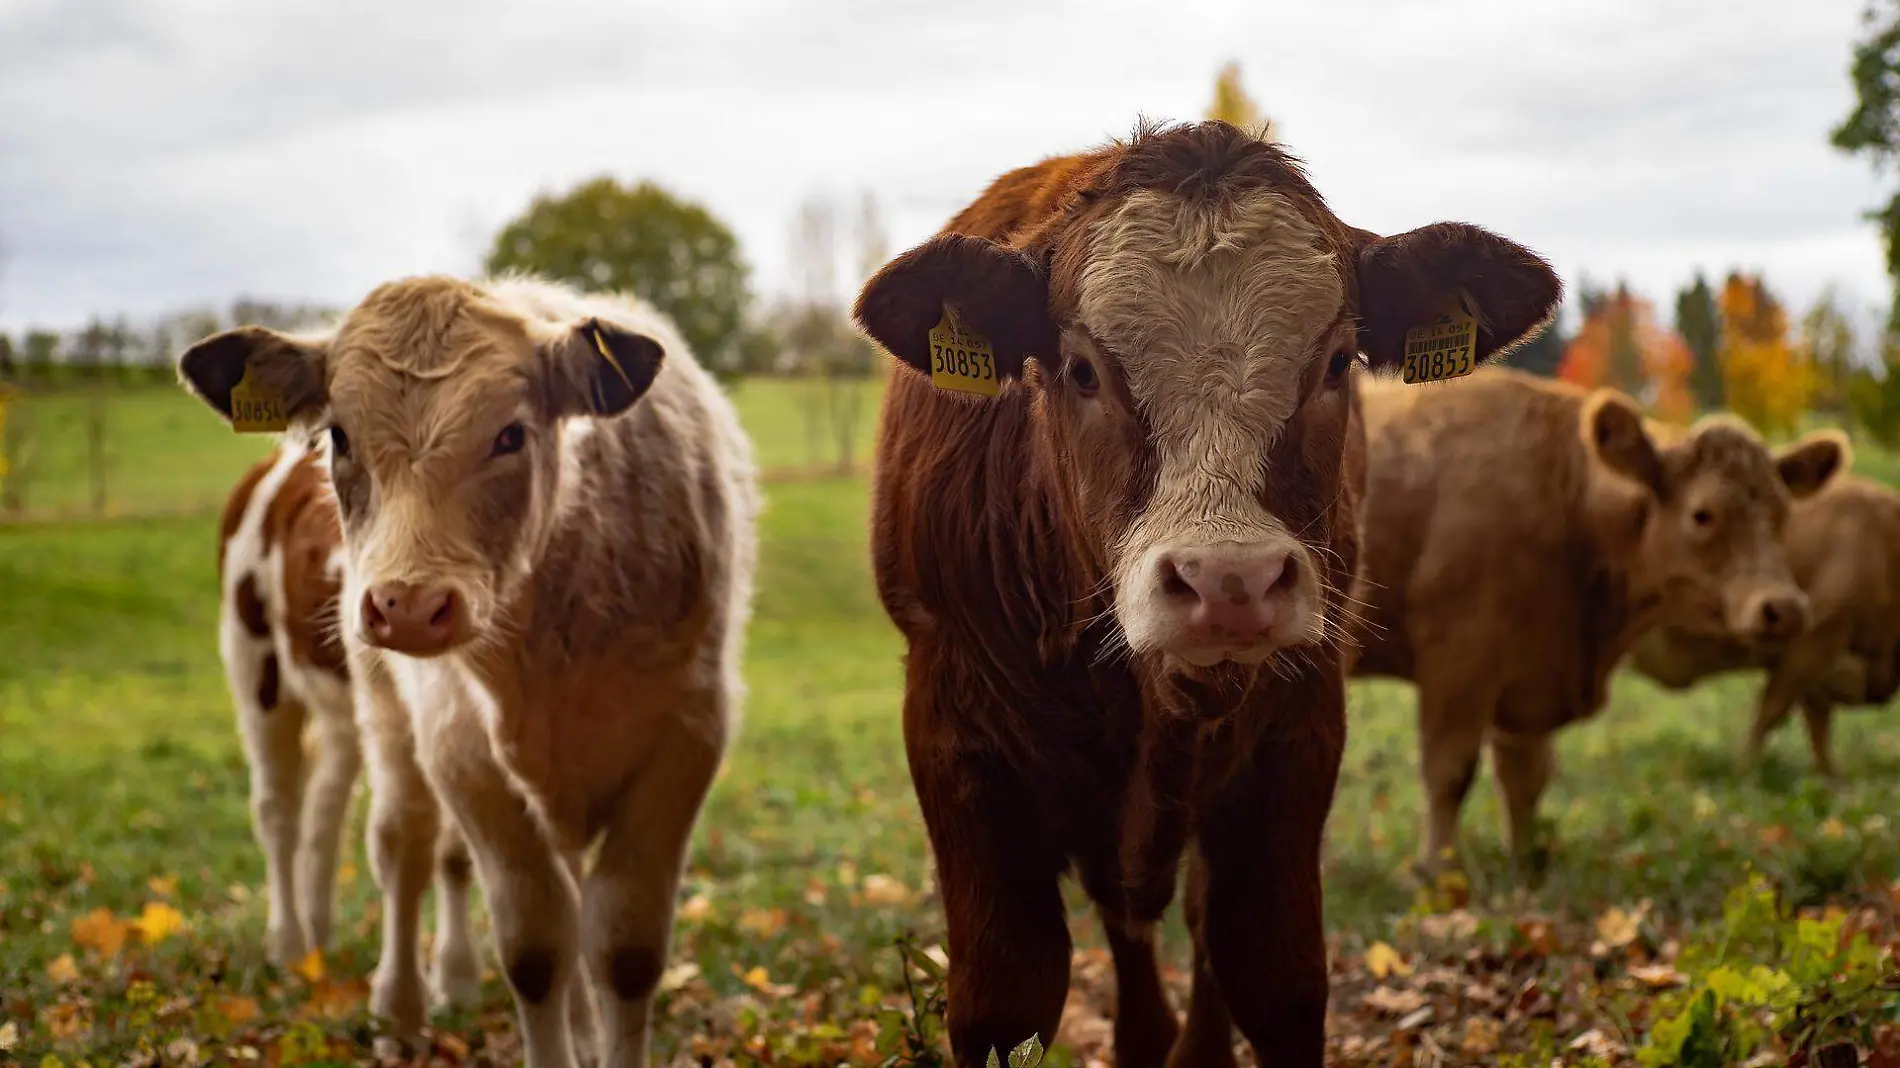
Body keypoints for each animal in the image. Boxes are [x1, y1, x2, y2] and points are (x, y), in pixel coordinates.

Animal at [178, 273, 752, 1064]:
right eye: (341, 436)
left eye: (511, 434)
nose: (408, 606)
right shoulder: (461, 747)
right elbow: (535, 945)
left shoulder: (687, 736)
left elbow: (624, 946)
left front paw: (585, 1028)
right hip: (269, 672)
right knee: (332, 823)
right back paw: (330, 966)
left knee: (342, 812)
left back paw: (366, 954)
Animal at [858, 120, 1558, 1064]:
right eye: (1081, 369)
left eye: (1336, 361)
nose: (1231, 581)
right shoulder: (954, 735)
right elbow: (1007, 996)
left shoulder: (1296, 734)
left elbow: (1273, 975)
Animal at [1352, 364, 1839, 874]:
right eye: (1702, 514)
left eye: (1782, 514)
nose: (1785, 607)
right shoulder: (1458, 664)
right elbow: (1450, 773)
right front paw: (1438, 873)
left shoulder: (1531, 676)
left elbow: (1526, 778)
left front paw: (1525, 865)